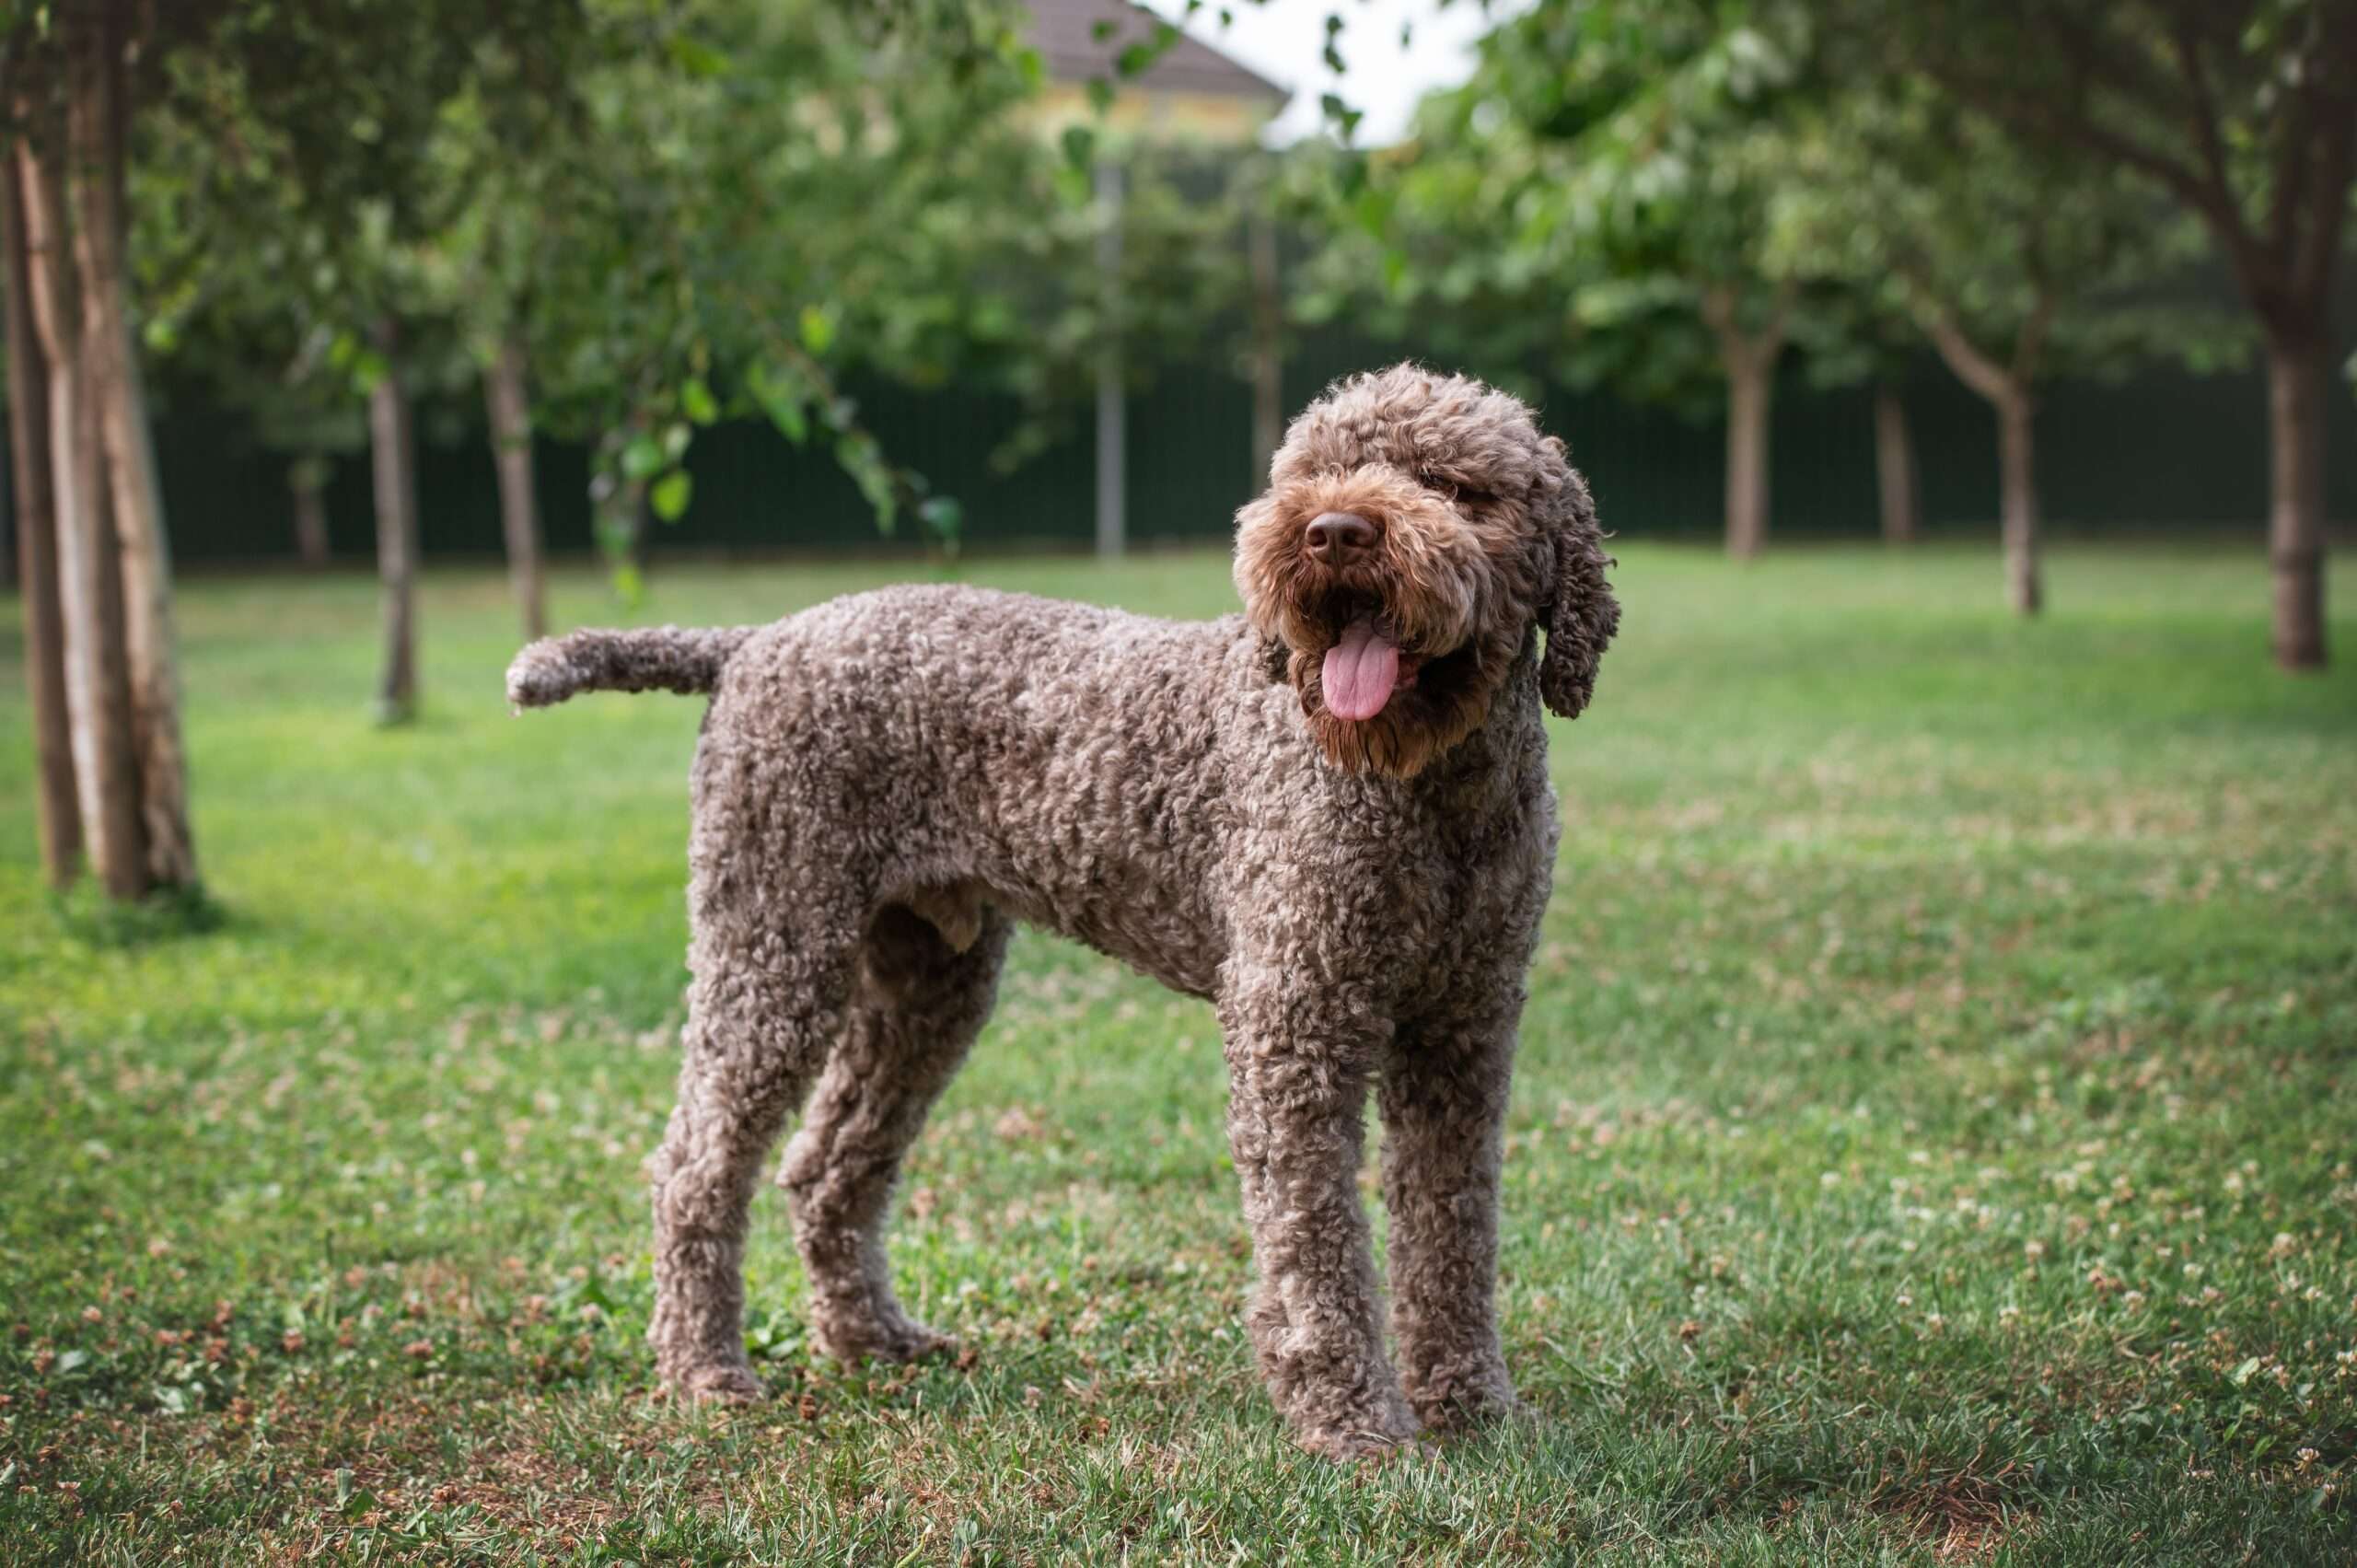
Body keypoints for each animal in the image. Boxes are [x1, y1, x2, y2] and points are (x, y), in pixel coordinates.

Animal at [508, 367, 1621, 1452]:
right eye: (1315, 470)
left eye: (1454, 487)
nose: (1333, 532)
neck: (1431, 795)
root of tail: (755, 639)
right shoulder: (1296, 1025)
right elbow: (1317, 1247)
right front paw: (1353, 1421)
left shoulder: (1463, 1032)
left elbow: (1452, 1233)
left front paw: (1472, 1402)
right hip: (773, 951)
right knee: (694, 1168)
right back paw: (703, 1371)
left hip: (923, 987)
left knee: (826, 1166)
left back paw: (871, 1339)